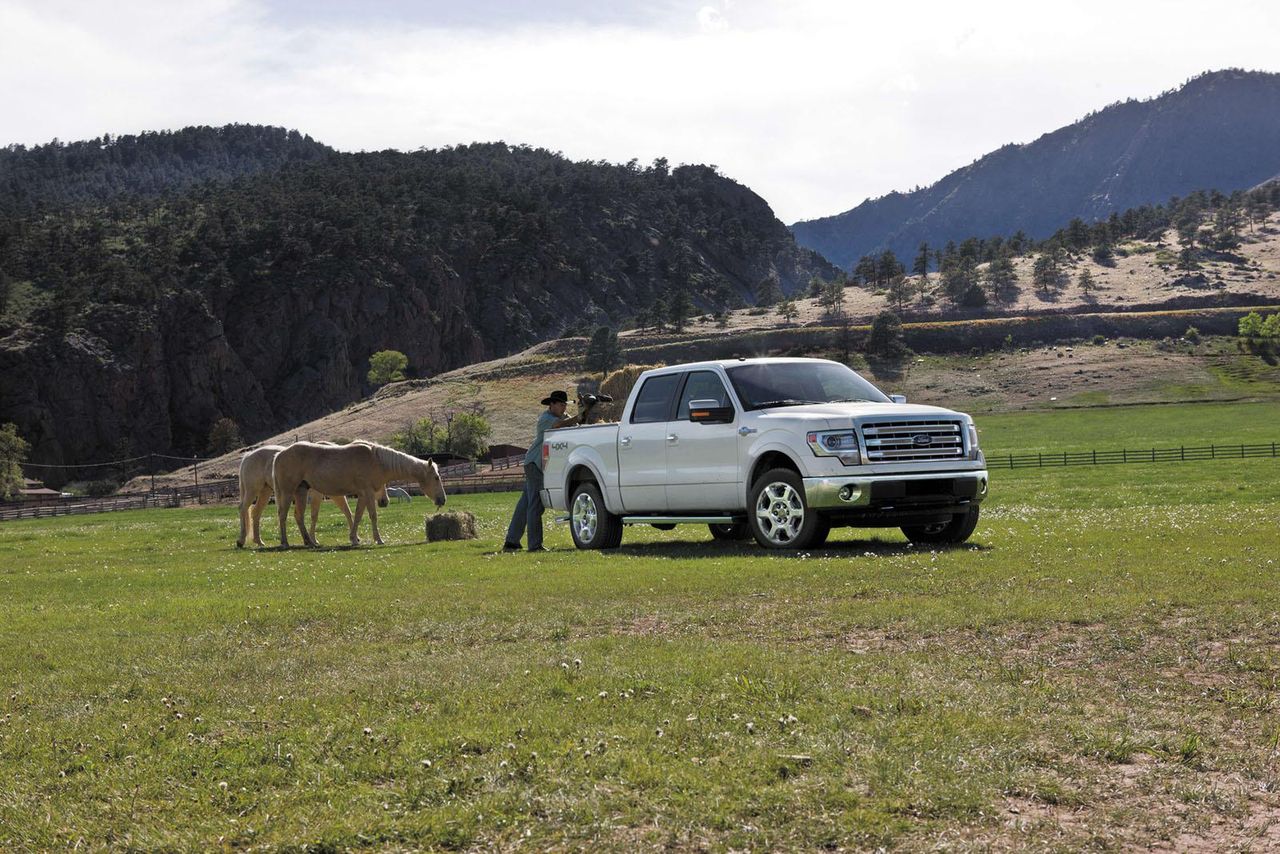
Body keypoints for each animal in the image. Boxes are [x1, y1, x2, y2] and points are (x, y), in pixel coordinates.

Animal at [234, 440, 384, 547]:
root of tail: (248, 456)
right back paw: (241, 540)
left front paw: (355, 537)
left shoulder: (334, 495)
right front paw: (314, 539)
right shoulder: (319, 495)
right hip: (253, 490)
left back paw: (259, 541)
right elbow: (316, 515)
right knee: (243, 509)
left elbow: (347, 512)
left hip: (265, 492)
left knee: (256, 513)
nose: (384, 502)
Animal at [272, 440, 448, 547]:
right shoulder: (368, 493)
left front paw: (354, 539)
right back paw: (285, 542)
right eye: (436, 477)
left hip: (300, 491)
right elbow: (372, 516)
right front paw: (379, 539)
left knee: (298, 516)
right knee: (282, 515)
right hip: (288, 492)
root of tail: (279, 455)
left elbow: (357, 515)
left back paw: (310, 542)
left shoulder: (363, 495)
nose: (442, 499)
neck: (376, 461)